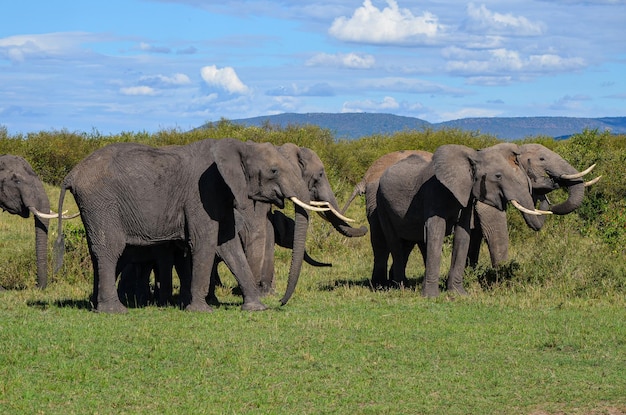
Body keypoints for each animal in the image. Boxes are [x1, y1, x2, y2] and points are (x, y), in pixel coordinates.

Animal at [54, 138, 326, 314]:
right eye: (273, 170)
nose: (281, 302)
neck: (238, 147)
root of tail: (72, 174)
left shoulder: (221, 194)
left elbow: (228, 246)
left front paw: (256, 308)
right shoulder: (201, 193)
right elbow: (205, 243)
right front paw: (201, 310)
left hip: (94, 207)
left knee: (98, 252)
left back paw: (96, 306)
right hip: (102, 202)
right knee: (110, 249)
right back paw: (114, 311)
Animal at [368, 145, 548, 298]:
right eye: (498, 176)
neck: (473, 156)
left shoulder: (467, 195)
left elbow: (463, 236)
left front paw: (459, 294)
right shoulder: (433, 192)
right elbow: (436, 234)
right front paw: (431, 297)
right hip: (381, 203)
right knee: (394, 242)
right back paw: (401, 287)